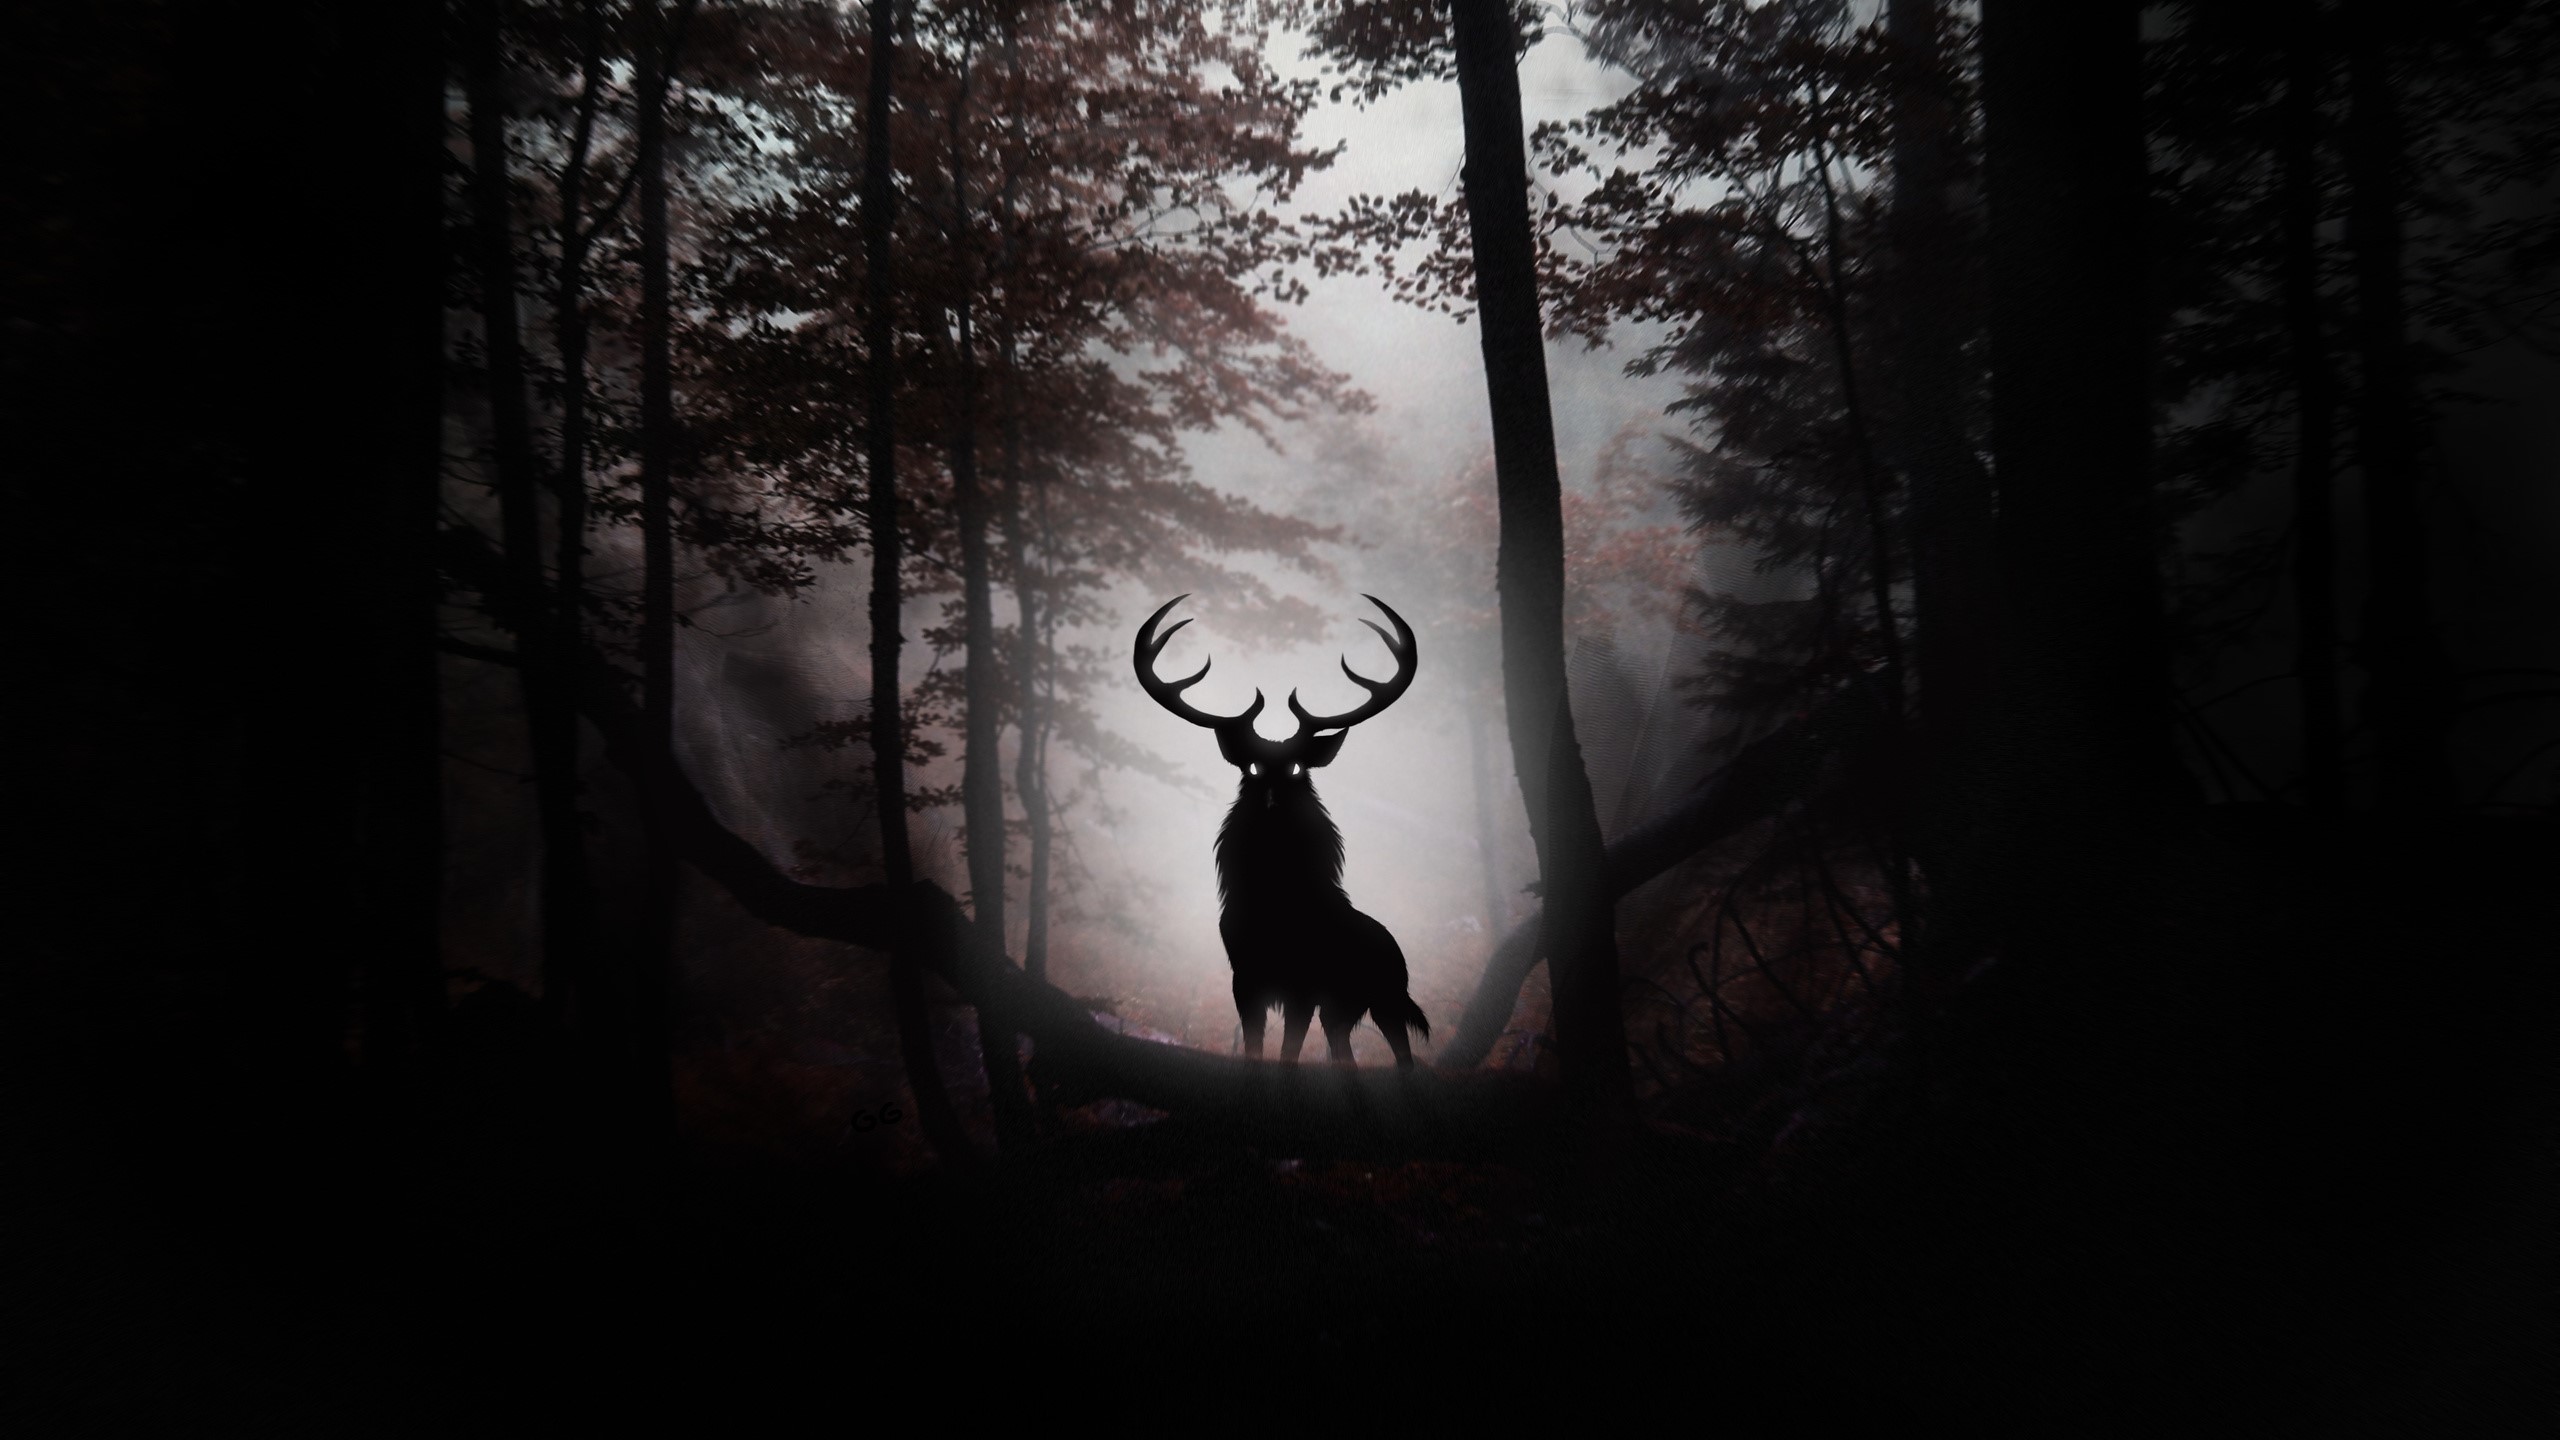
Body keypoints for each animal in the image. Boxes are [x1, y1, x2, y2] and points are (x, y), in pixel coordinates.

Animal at [1134, 594, 1431, 1070]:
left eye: (1296, 768)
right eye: (1252, 768)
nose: (1273, 801)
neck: (1274, 901)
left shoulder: (1303, 986)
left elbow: (1289, 1054)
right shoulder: (1244, 978)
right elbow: (1254, 1049)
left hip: (1386, 998)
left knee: (1403, 1055)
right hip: (1343, 1011)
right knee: (1345, 1054)